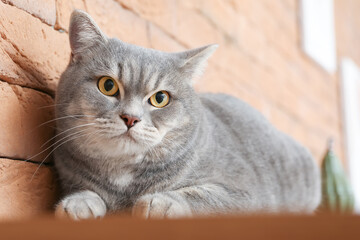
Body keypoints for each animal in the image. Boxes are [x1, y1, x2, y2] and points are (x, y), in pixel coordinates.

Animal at [54, 10, 320, 220]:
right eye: (108, 86)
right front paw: (79, 203)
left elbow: (203, 197)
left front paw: (161, 202)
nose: (131, 118)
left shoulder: (247, 193)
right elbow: (84, 191)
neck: (123, 180)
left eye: (160, 98)